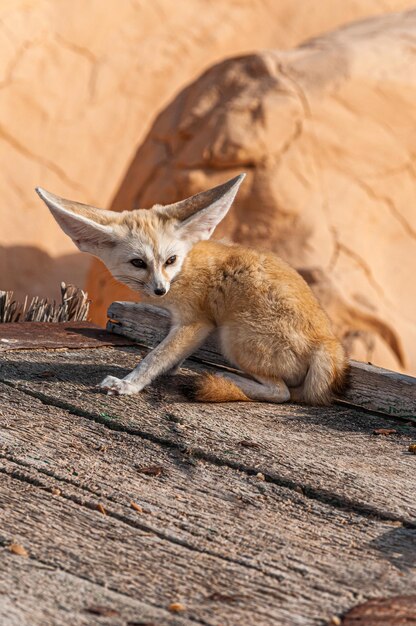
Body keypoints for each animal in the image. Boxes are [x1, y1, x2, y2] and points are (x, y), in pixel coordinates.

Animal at [36, 173, 348, 402]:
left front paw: (129, 384)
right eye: (138, 263)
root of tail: (327, 344)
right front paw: (169, 368)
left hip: (232, 337)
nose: (160, 290)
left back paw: (229, 379)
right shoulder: (189, 325)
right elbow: (169, 353)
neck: (185, 266)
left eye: (170, 260)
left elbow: (156, 356)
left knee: (281, 393)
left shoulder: (196, 322)